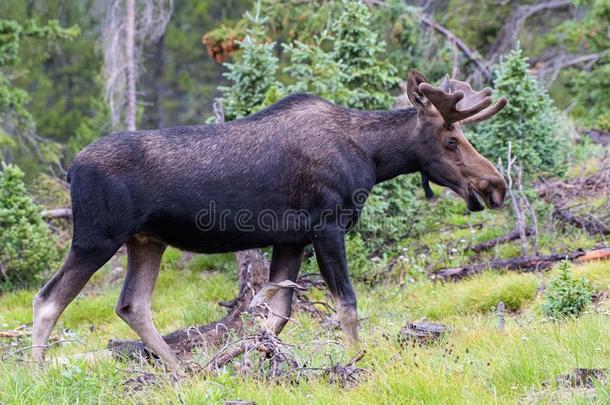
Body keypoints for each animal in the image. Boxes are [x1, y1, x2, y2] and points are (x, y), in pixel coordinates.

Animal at [34, 70, 508, 370]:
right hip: (97, 236)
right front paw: (354, 359)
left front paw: (258, 360)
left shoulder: (291, 239)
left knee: (132, 304)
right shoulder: (327, 225)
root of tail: (71, 170)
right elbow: (347, 304)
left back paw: (184, 371)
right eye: (450, 139)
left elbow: (276, 315)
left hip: (147, 240)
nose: (495, 185)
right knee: (48, 300)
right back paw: (38, 372)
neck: (373, 158)